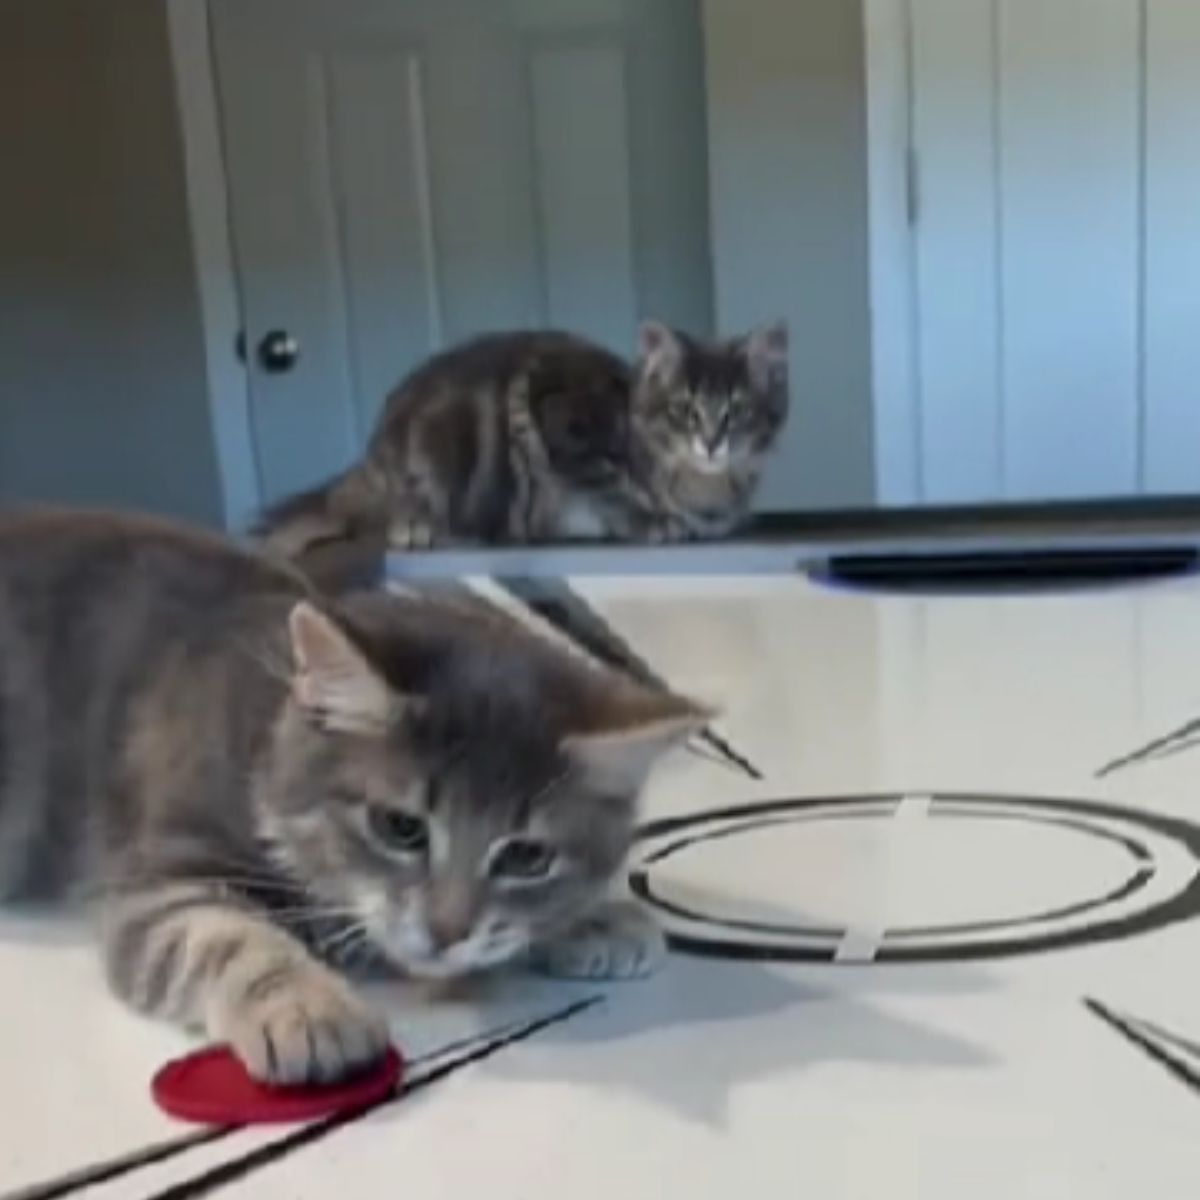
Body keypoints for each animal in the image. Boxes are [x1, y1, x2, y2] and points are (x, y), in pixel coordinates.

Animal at [0, 511, 705, 1084]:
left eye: (526, 857)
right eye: (400, 826)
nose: (448, 932)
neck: (263, 731)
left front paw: (591, 917)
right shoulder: (158, 872)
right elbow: (226, 934)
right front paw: (305, 1006)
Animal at [255, 316, 787, 564]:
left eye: (738, 410)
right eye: (684, 410)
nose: (712, 443)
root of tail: (367, 461)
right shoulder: (556, 423)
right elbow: (607, 489)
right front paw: (653, 521)